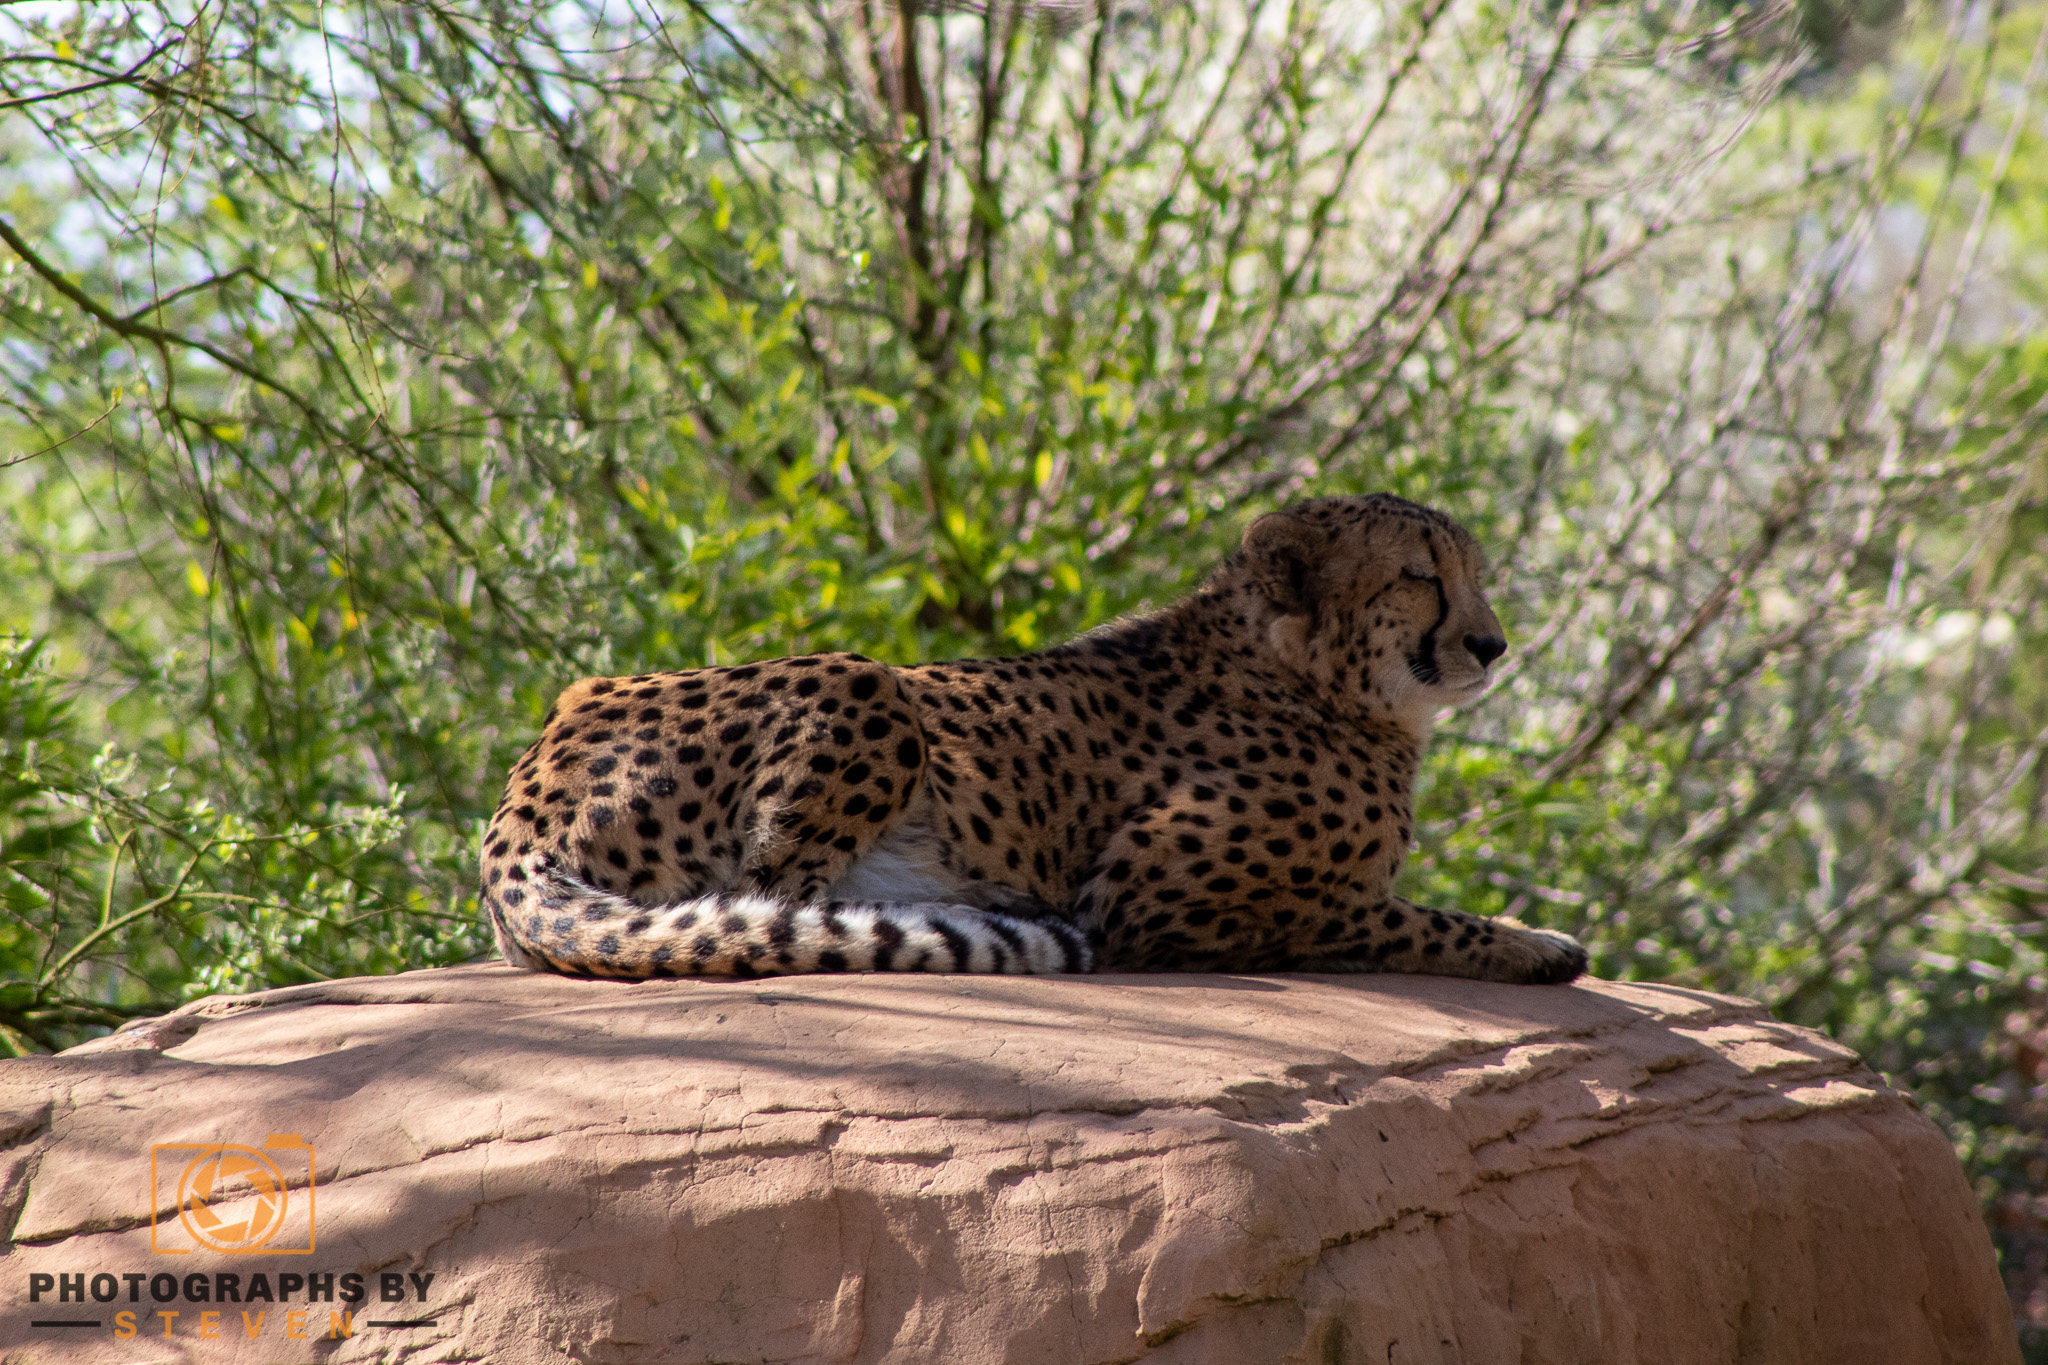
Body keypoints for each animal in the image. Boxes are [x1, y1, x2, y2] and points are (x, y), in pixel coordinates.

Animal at [479, 497, 1581, 986]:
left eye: (1473, 574)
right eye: (1420, 577)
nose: (1493, 642)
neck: (1318, 681)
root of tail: (529, 779)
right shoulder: (1150, 895)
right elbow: (1394, 915)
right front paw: (1533, 942)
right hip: (867, 681)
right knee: (776, 902)